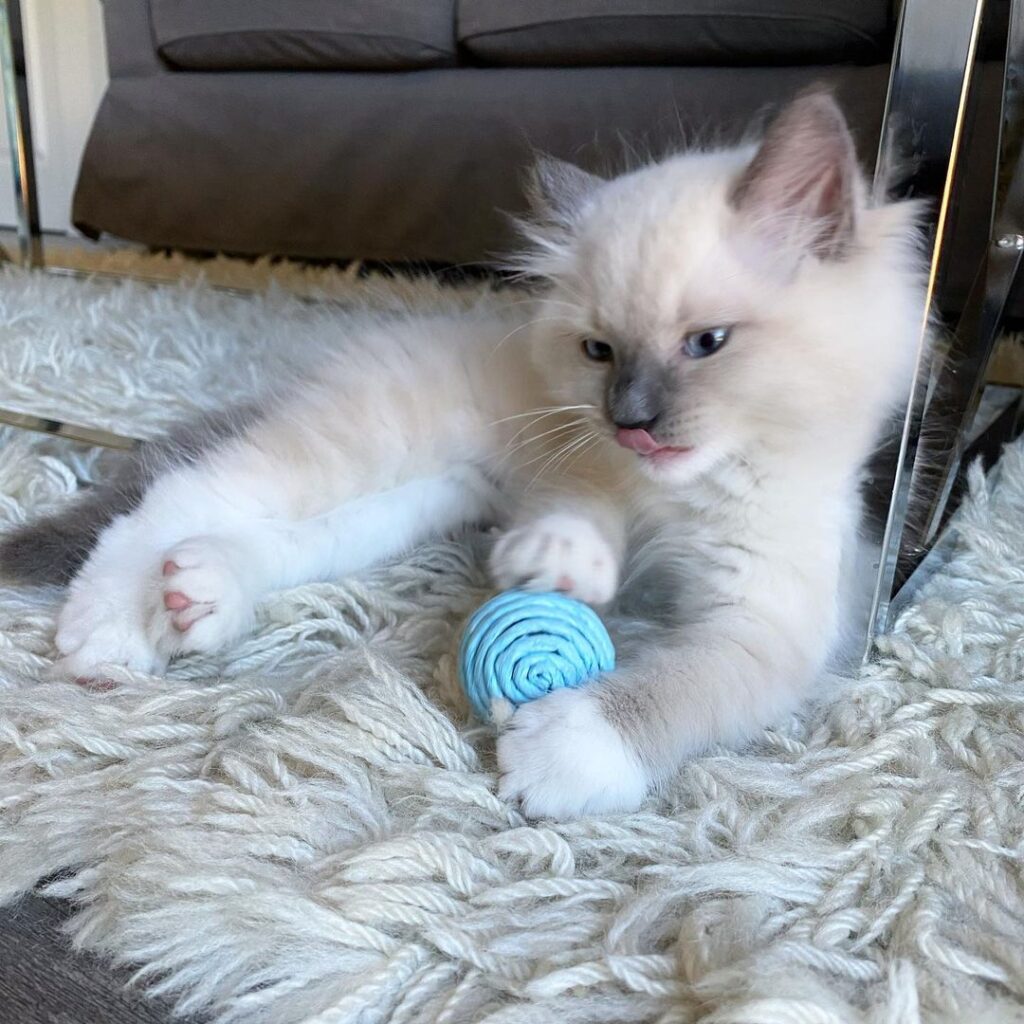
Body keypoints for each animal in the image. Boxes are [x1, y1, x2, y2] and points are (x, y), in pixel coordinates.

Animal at [0, 90, 926, 818]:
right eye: (599, 352)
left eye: (707, 344)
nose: (631, 421)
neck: (689, 492)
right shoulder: (580, 465)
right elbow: (582, 518)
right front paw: (560, 572)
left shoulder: (763, 624)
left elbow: (683, 689)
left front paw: (569, 750)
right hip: (368, 451)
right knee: (181, 498)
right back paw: (112, 628)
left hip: (404, 505)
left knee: (266, 542)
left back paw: (199, 599)